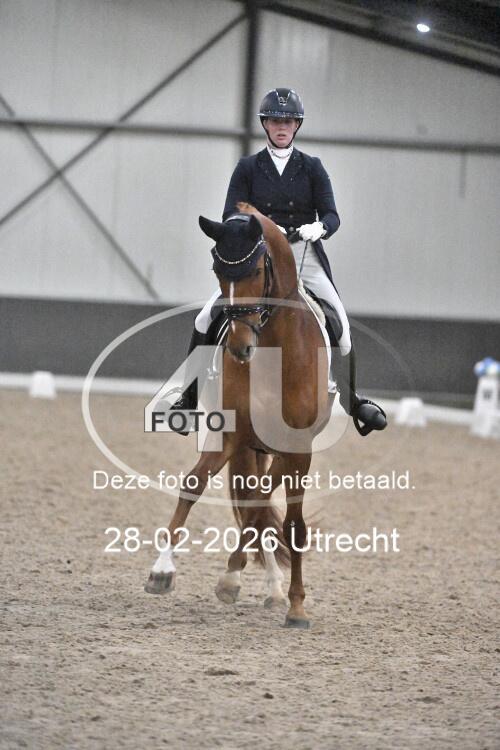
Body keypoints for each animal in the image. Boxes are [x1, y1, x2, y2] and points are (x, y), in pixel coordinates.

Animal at [144, 202, 333, 628]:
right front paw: (163, 571)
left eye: (258, 272)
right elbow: (194, 486)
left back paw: (277, 592)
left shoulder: (297, 448)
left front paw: (295, 605)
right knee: (254, 503)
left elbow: (286, 520)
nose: (239, 348)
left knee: (267, 507)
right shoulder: (230, 437)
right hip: (251, 447)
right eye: (217, 271)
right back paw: (266, 584)